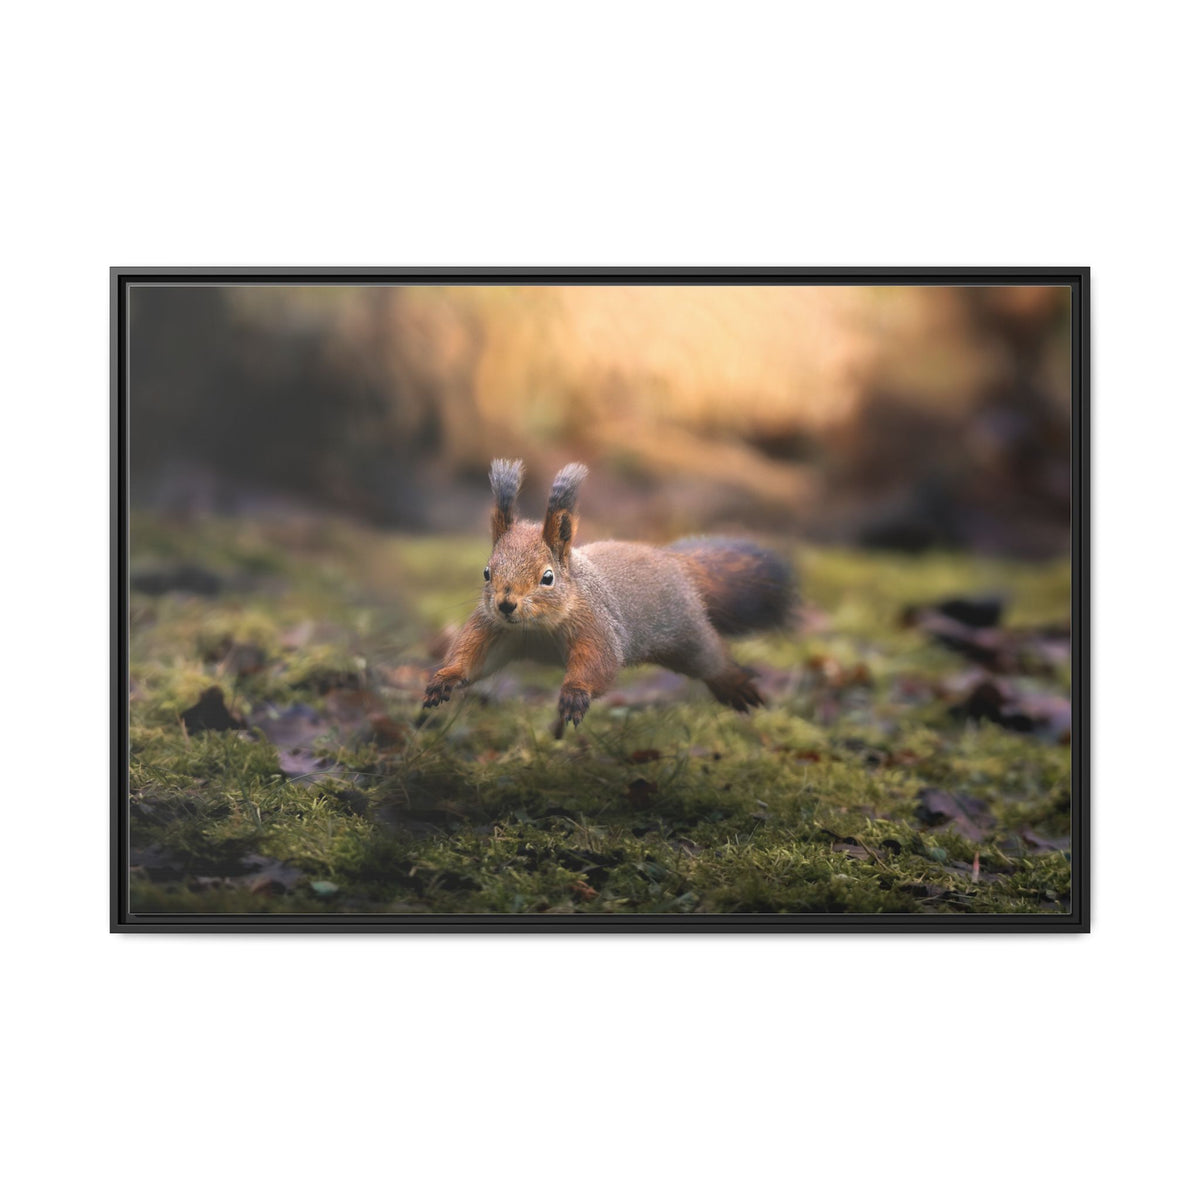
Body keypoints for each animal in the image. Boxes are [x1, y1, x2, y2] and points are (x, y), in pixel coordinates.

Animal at [422, 459, 795, 734]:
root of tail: (675, 562)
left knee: (712, 657)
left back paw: (735, 683)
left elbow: (599, 662)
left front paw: (575, 693)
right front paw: (445, 678)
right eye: (487, 572)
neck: (535, 628)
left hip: (687, 633)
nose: (505, 604)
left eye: (547, 577)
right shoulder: (494, 629)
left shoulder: (595, 624)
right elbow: (472, 657)